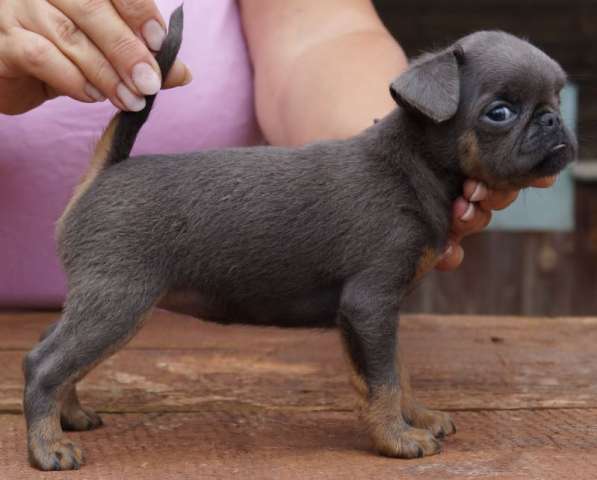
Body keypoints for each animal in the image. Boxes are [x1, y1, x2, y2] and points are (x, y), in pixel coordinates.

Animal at [21, 6, 576, 472]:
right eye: (500, 112)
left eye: (556, 99)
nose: (555, 120)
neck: (410, 164)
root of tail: (107, 172)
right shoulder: (370, 303)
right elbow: (382, 380)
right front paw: (397, 438)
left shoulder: (380, 312)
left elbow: (398, 371)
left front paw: (415, 416)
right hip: (118, 303)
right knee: (45, 364)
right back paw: (48, 448)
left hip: (103, 304)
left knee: (49, 347)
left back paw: (70, 416)